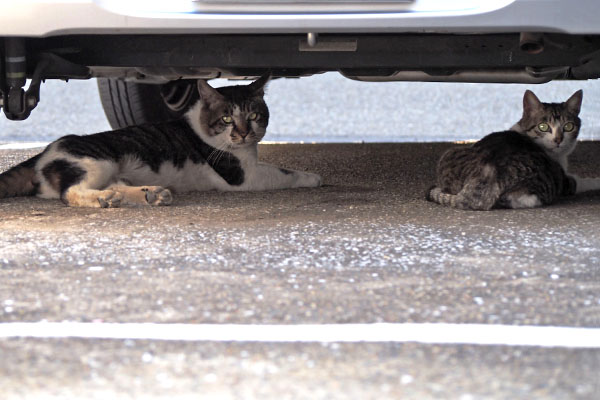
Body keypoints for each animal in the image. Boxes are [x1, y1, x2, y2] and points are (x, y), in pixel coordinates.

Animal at [0, 75, 324, 208]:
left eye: (254, 115)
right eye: (227, 119)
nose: (244, 133)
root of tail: (43, 154)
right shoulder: (243, 175)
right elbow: (284, 172)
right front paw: (313, 177)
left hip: (111, 172)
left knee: (114, 186)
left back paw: (150, 194)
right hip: (97, 162)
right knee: (71, 193)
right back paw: (106, 200)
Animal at [426, 89, 600, 211]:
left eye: (568, 126)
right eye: (543, 127)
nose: (558, 139)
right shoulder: (566, 182)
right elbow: (580, 181)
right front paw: (595, 180)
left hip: (449, 154)